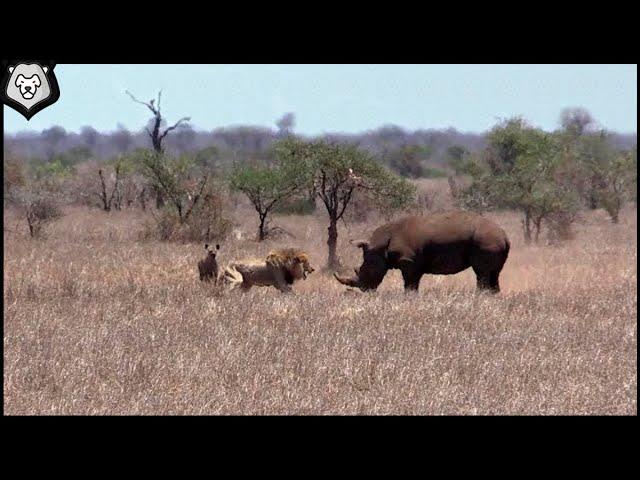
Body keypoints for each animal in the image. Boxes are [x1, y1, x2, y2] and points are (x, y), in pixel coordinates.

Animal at [336, 213, 510, 292]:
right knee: (494, 274)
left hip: (486, 242)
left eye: (365, 269)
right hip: (493, 241)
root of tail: (505, 236)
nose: (364, 289)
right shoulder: (415, 264)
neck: (380, 246)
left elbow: (410, 285)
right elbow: (413, 284)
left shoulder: (408, 261)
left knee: (482, 273)